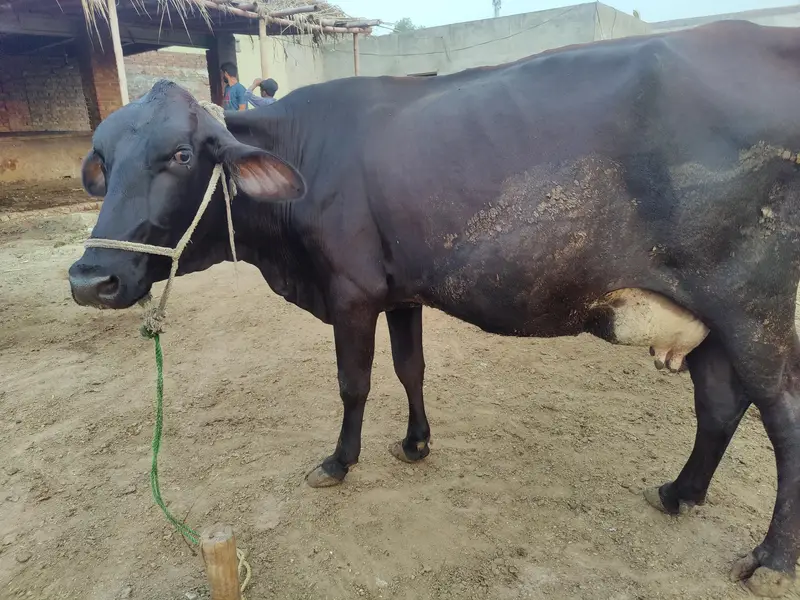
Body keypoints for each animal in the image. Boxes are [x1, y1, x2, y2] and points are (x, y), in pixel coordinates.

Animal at [68, 21, 800, 596]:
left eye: (179, 154)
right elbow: (409, 368)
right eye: (101, 159)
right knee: (719, 405)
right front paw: (417, 442)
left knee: (782, 416)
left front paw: (339, 461)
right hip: (711, 319)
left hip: (754, 309)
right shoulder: (400, 291)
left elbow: (354, 382)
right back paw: (680, 492)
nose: (89, 278)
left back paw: (770, 559)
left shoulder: (351, 290)